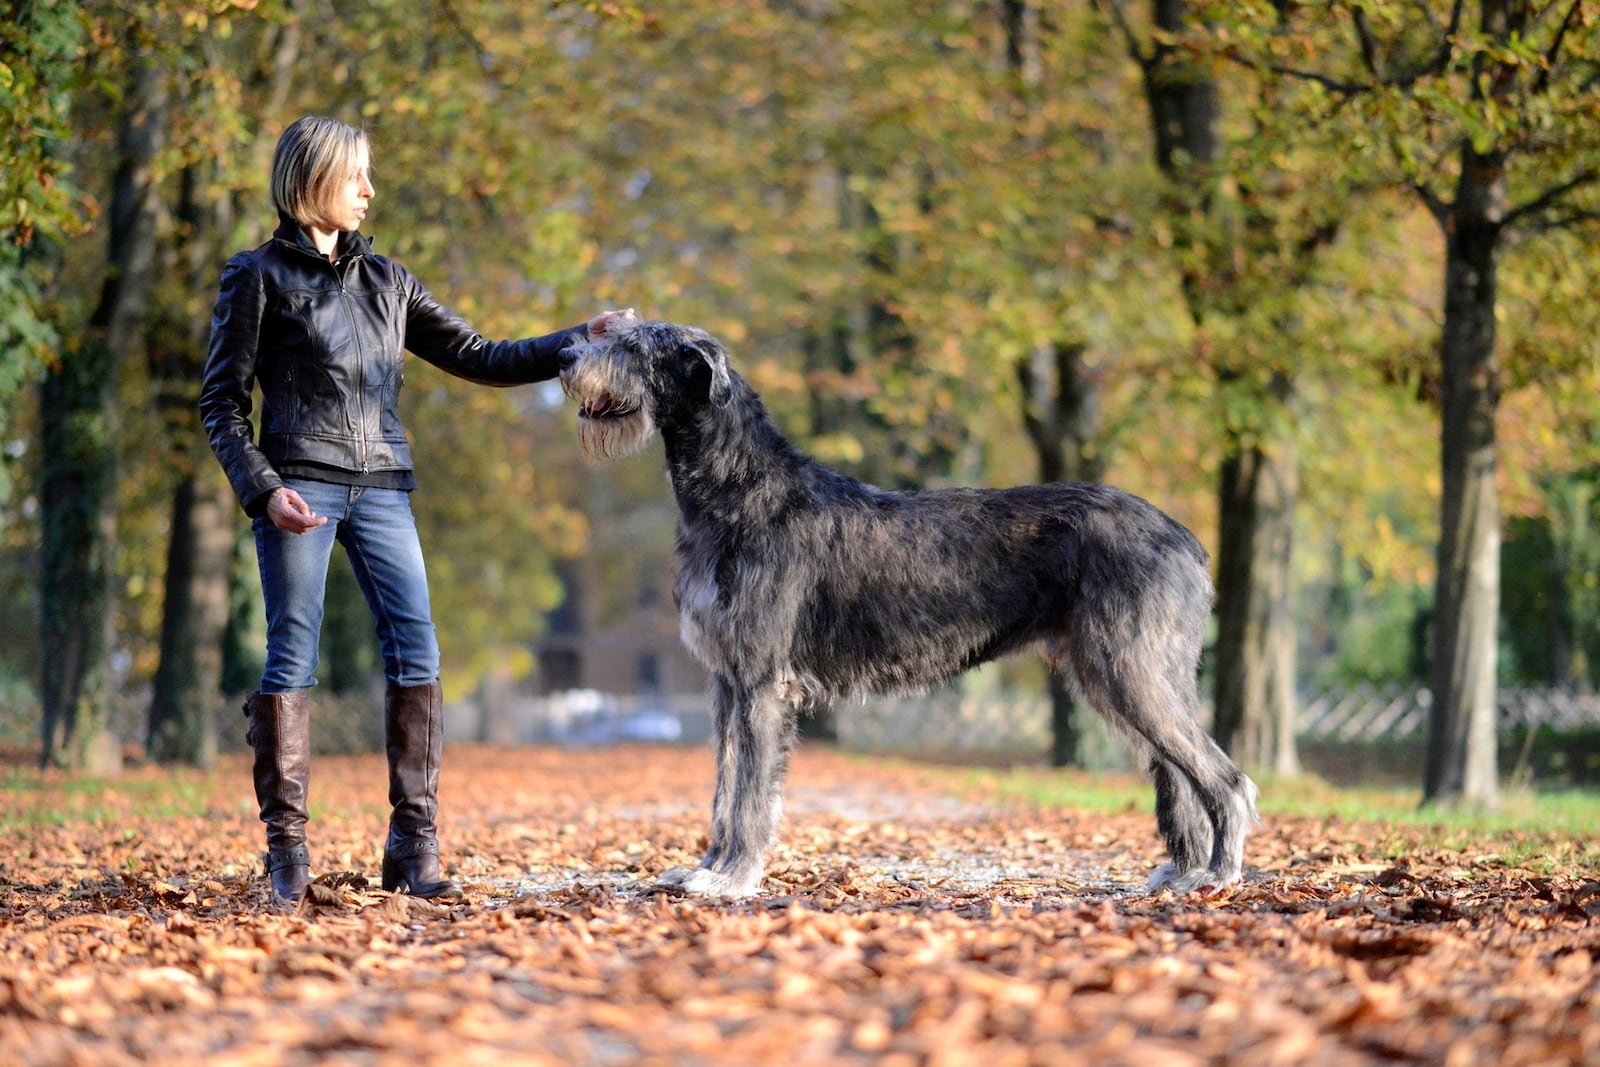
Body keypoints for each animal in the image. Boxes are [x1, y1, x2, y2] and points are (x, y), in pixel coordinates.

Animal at [556, 321, 1254, 895]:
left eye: (634, 345)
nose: (564, 355)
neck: (740, 489)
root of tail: (1188, 540)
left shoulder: (760, 681)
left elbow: (751, 793)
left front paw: (732, 879)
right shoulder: (726, 682)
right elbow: (725, 785)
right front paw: (706, 868)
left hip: (1130, 669)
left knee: (1225, 778)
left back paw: (1218, 874)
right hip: (1119, 675)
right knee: (1180, 772)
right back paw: (1188, 869)